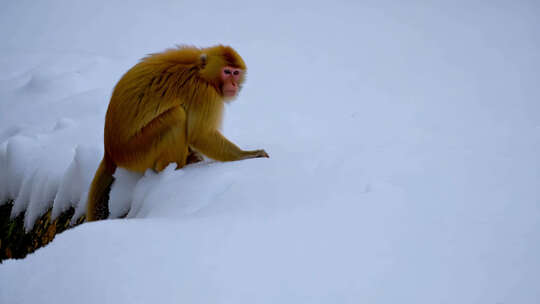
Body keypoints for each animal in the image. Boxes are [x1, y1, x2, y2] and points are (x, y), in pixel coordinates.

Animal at [87, 45, 270, 221]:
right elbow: (201, 135)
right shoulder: (204, 93)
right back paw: (174, 169)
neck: (200, 72)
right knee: (177, 116)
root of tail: (110, 151)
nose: (233, 84)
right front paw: (247, 155)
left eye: (236, 73)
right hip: (136, 152)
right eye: (227, 72)